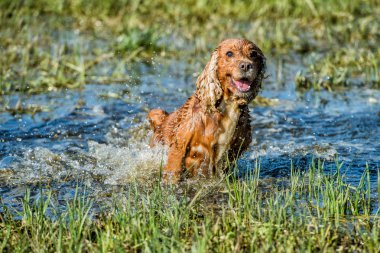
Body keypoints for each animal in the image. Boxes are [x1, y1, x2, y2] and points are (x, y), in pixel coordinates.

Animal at [148, 38, 264, 183]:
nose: (246, 65)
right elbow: (173, 170)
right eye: (229, 53)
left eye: (253, 54)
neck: (228, 106)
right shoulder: (179, 145)